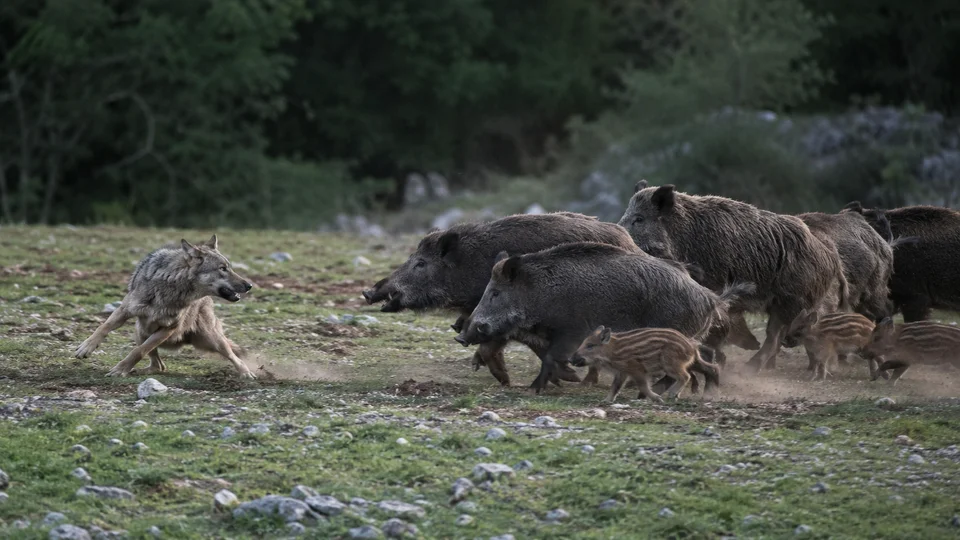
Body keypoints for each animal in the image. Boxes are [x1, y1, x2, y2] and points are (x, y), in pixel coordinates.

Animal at [74, 235, 256, 379]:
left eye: (229, 268)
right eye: (222, 269)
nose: (249, 285)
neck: (171, 288)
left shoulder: (169, 328)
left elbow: (138, 351)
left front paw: (120, 370)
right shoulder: (125, 309)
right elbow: (104, 327)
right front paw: (86, 348)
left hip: (213, 340)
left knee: (234, 356)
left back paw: (247, 373)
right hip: (140, 331)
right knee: (158, 366)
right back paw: (138, 371)